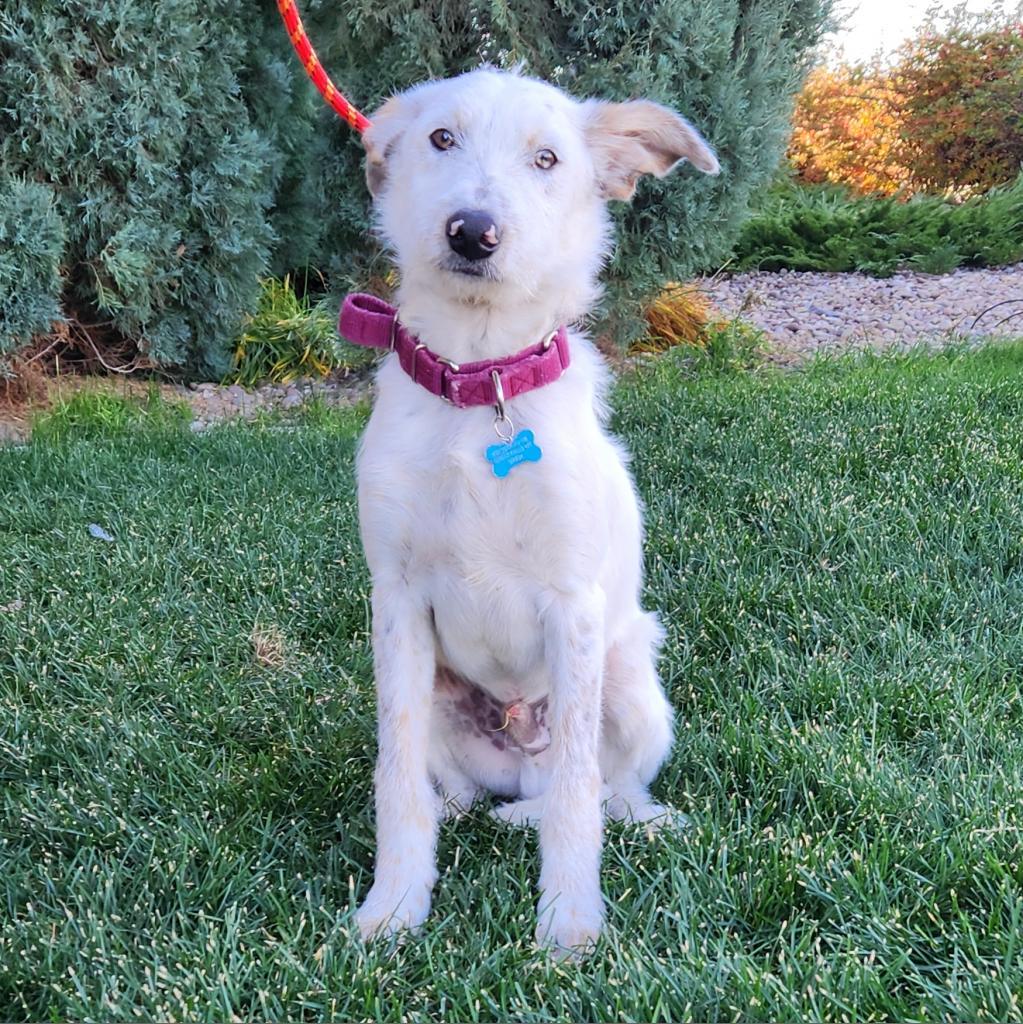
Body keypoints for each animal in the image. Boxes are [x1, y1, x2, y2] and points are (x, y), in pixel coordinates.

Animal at [346, 70, 720, 950]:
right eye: (440, 138)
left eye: (546, 159)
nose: (472, 231)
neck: (479, 383)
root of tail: (519, 754)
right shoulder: (396, 601)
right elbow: (395, 778)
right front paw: (394, 906)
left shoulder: (571, 603)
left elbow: (579, 796)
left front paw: (568, 925)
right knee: (455, 789)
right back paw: (467, 810)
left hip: (634, 683)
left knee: (604, 791)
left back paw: (594, 819)